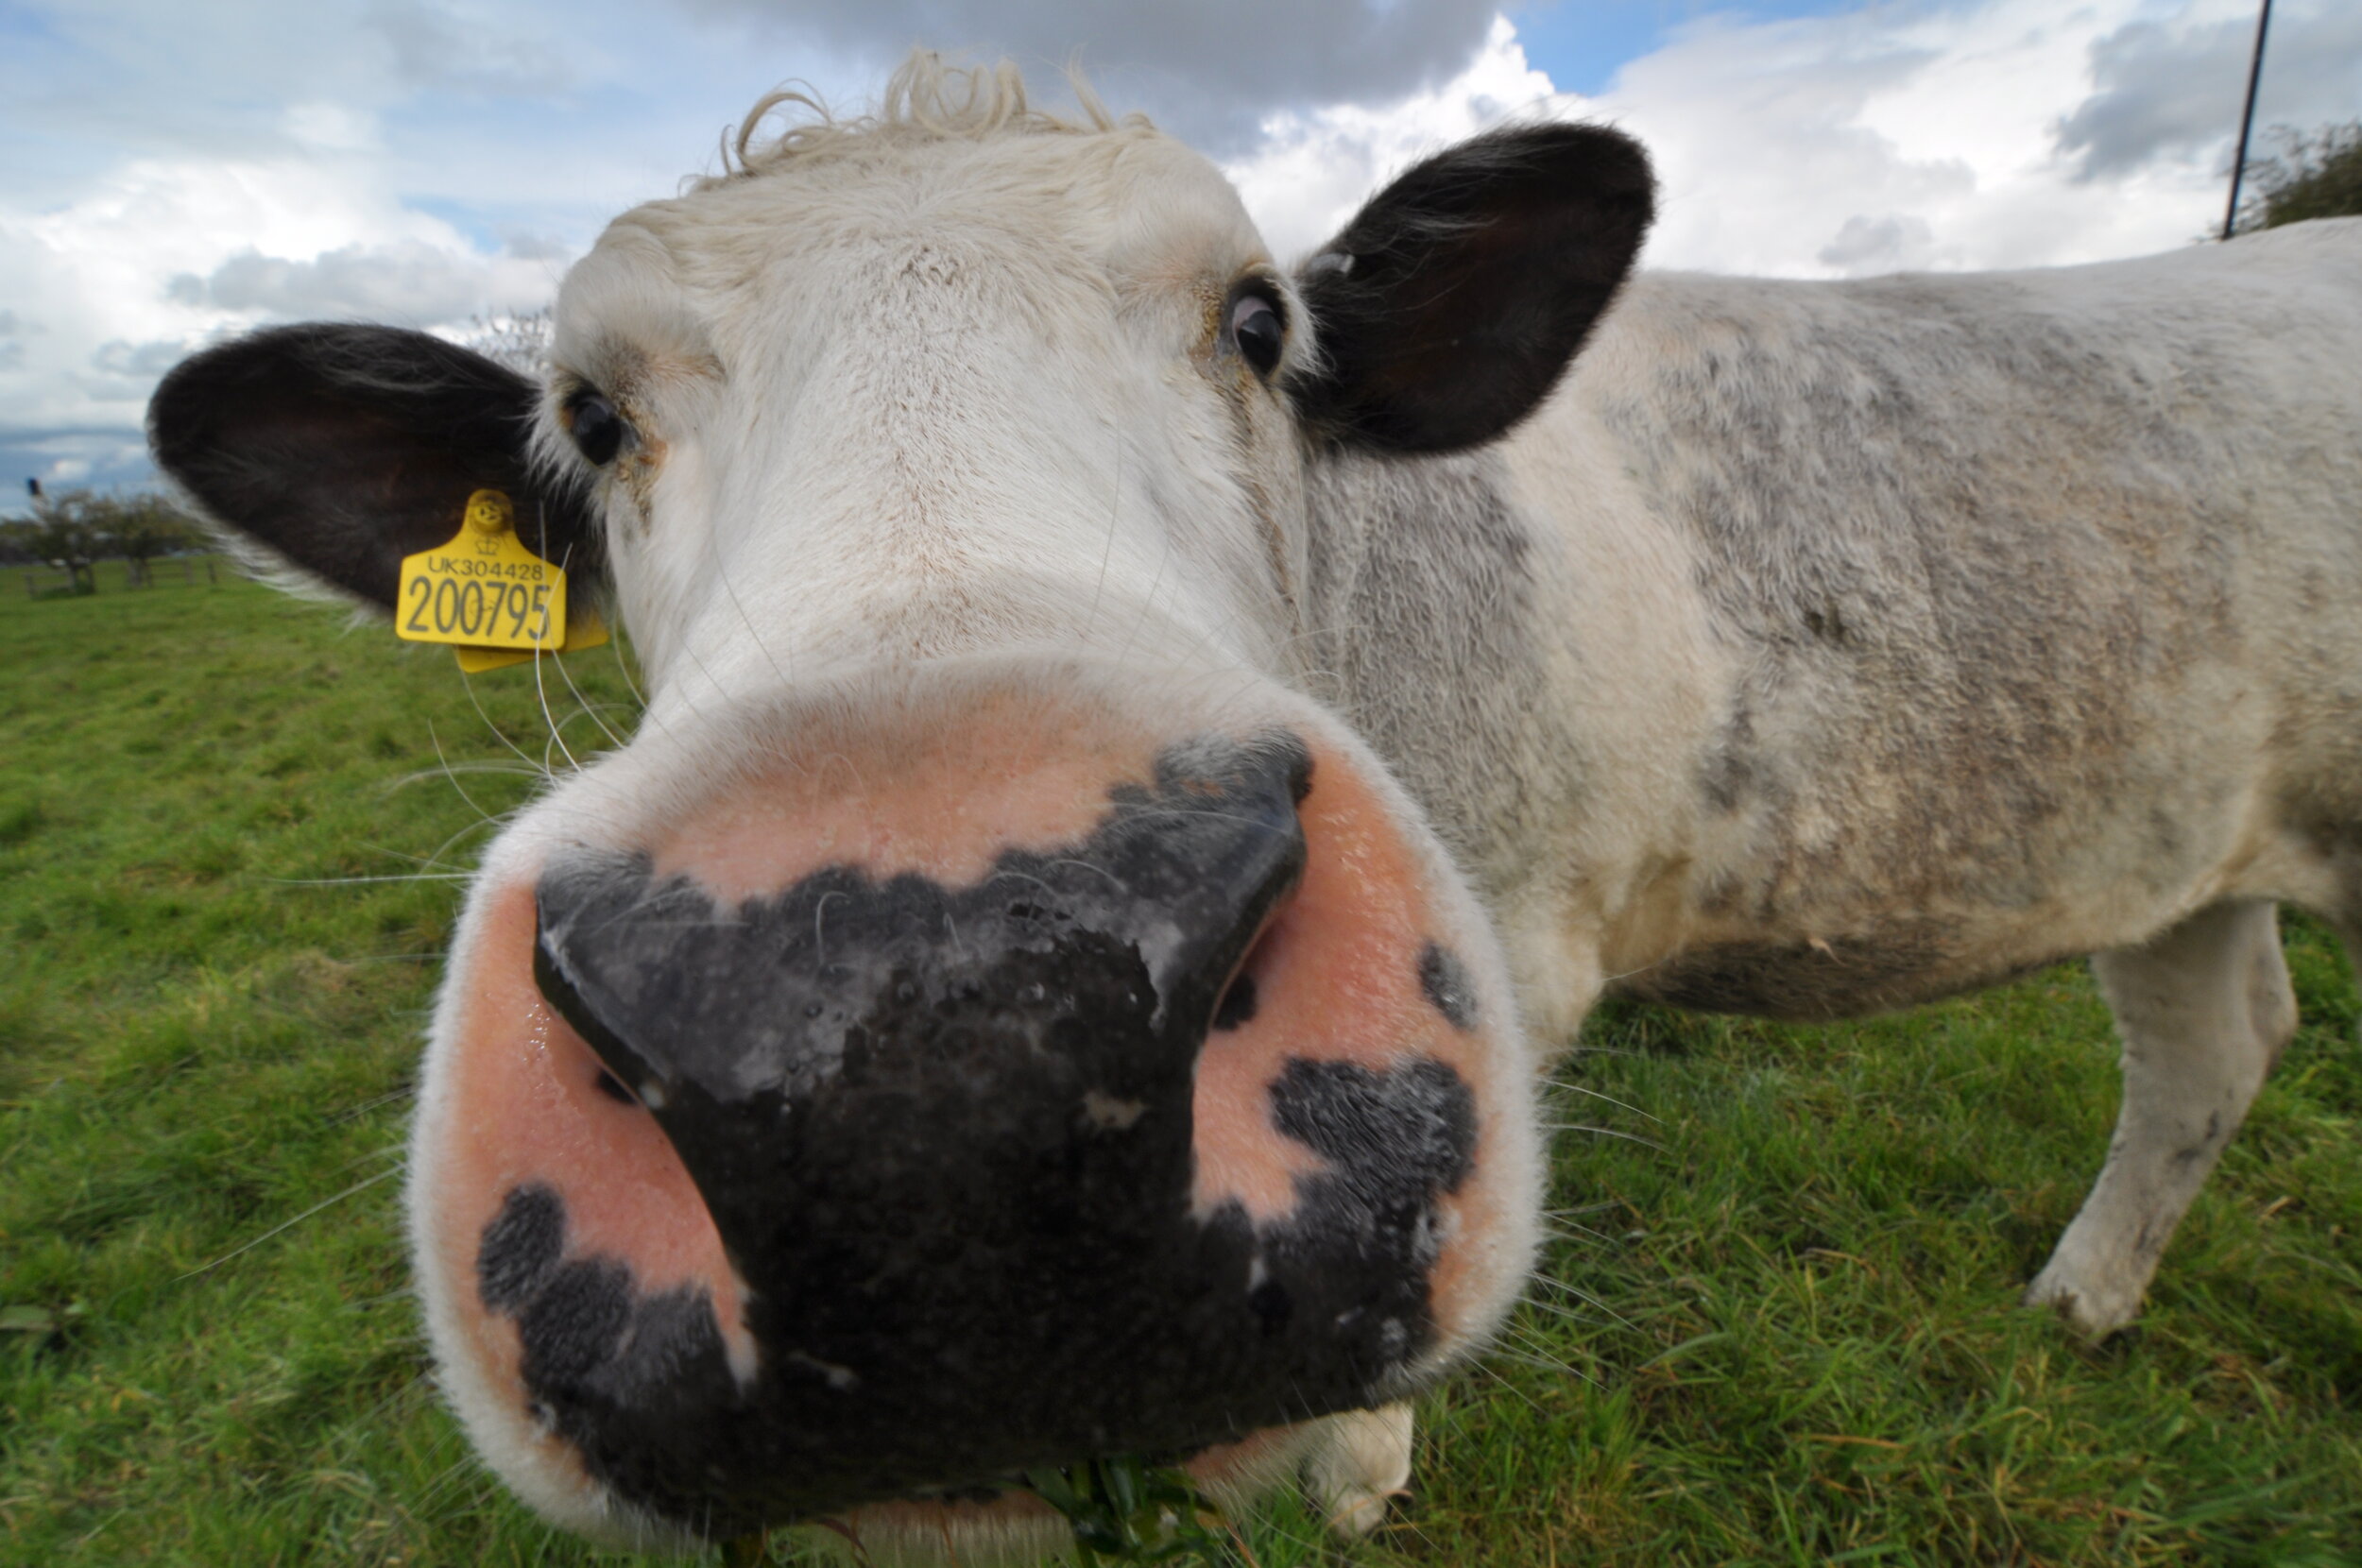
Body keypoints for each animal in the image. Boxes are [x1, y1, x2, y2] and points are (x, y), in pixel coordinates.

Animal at [146, 52, 2362, 1566]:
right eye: (589, 418)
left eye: (1256, 321)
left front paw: (1357, 1477)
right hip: (2174, 828)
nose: (936, 1047)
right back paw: (2079, 1301)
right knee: (2212, 1045)